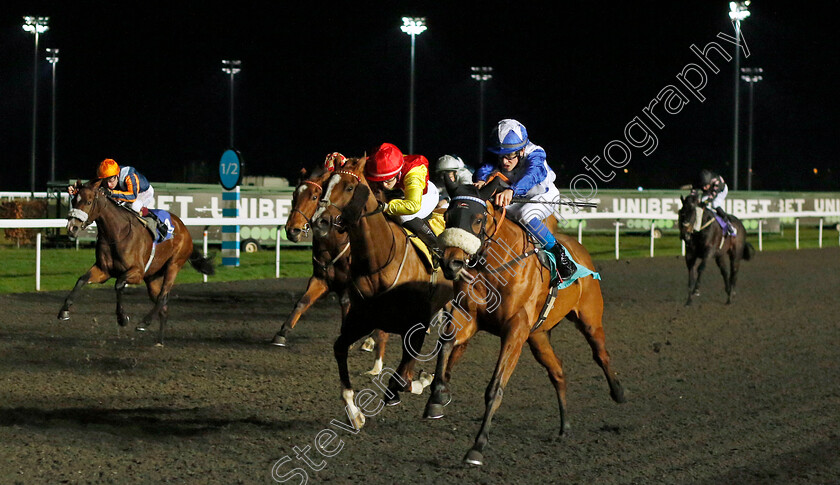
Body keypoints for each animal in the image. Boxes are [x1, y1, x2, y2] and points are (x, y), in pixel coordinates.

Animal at [61, 179, 215, 344]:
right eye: (73, 201)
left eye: (89, 202)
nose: (72, 228)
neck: (116, 233)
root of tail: (184, 228)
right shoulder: (103, 270)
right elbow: (82, 280)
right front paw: (64, 310)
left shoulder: (138, 272)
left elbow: (119, 284)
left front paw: (122, 318)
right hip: (153, 277)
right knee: (163, 306)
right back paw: (159, 341)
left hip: (174, 265)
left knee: (163, 296)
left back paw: (144, 322)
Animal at [270, 164, 388, 376]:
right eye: (294, 194)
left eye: (314, 196)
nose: (292, 230)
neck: (333, 244)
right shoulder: (321, 278)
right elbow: (302, 302)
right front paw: (282, 332)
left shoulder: (350, 284)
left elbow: (347, 305)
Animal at [310, 155, 452, 428]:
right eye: (325, 186)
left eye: (349, 187)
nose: (318, 221)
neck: (378, 261)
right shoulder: (362, 318)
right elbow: (340, 347)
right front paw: (354, 412)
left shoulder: (415, 324)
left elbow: (403, 378)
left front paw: (422, 382)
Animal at [424, 181, 628, 466]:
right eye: (448, 217)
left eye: (478, 219)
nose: (451, 263)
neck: (495, 266)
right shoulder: (468, 316)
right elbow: (445, 345)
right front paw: (437, 396)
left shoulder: (515, 330)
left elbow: (495, 387)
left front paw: (477, 446)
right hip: (538, 337)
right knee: (558, 371)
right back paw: (565, 427)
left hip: (589, 319)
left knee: (601, 354)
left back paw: (618, 392)